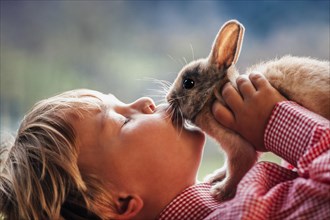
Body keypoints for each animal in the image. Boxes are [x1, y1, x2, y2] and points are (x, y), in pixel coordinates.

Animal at [165, 20, 330, 201]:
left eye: (188, 83)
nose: (168, 98)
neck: (212, 95)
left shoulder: (237, 146)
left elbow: (238, 168)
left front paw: (219, 191)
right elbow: (227, 167)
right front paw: (214, 178)